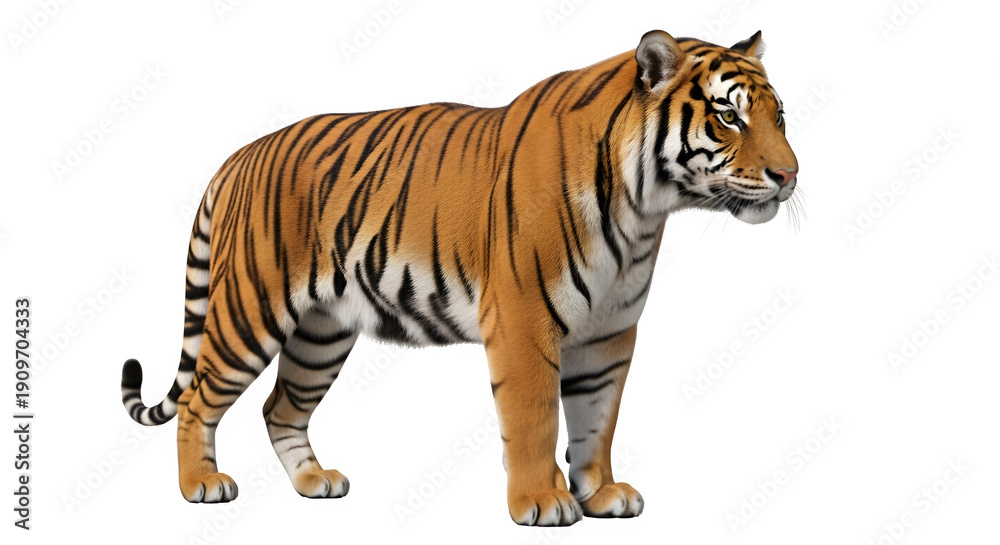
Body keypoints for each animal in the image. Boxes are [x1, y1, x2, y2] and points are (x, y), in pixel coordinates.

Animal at [119, 29, 798, 526]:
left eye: (780, 116)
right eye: (728, 117)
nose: (790, 175)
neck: (645, 209)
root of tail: (239, 156)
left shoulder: (609, 335)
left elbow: (597, 420)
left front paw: (602, 495)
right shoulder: (525, 324)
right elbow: (535, 418)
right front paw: (543, 502)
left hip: (321, 333)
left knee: (280, 407)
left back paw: (316, 482)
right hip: (249, 311)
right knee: (199, 398)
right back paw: (201, 484)